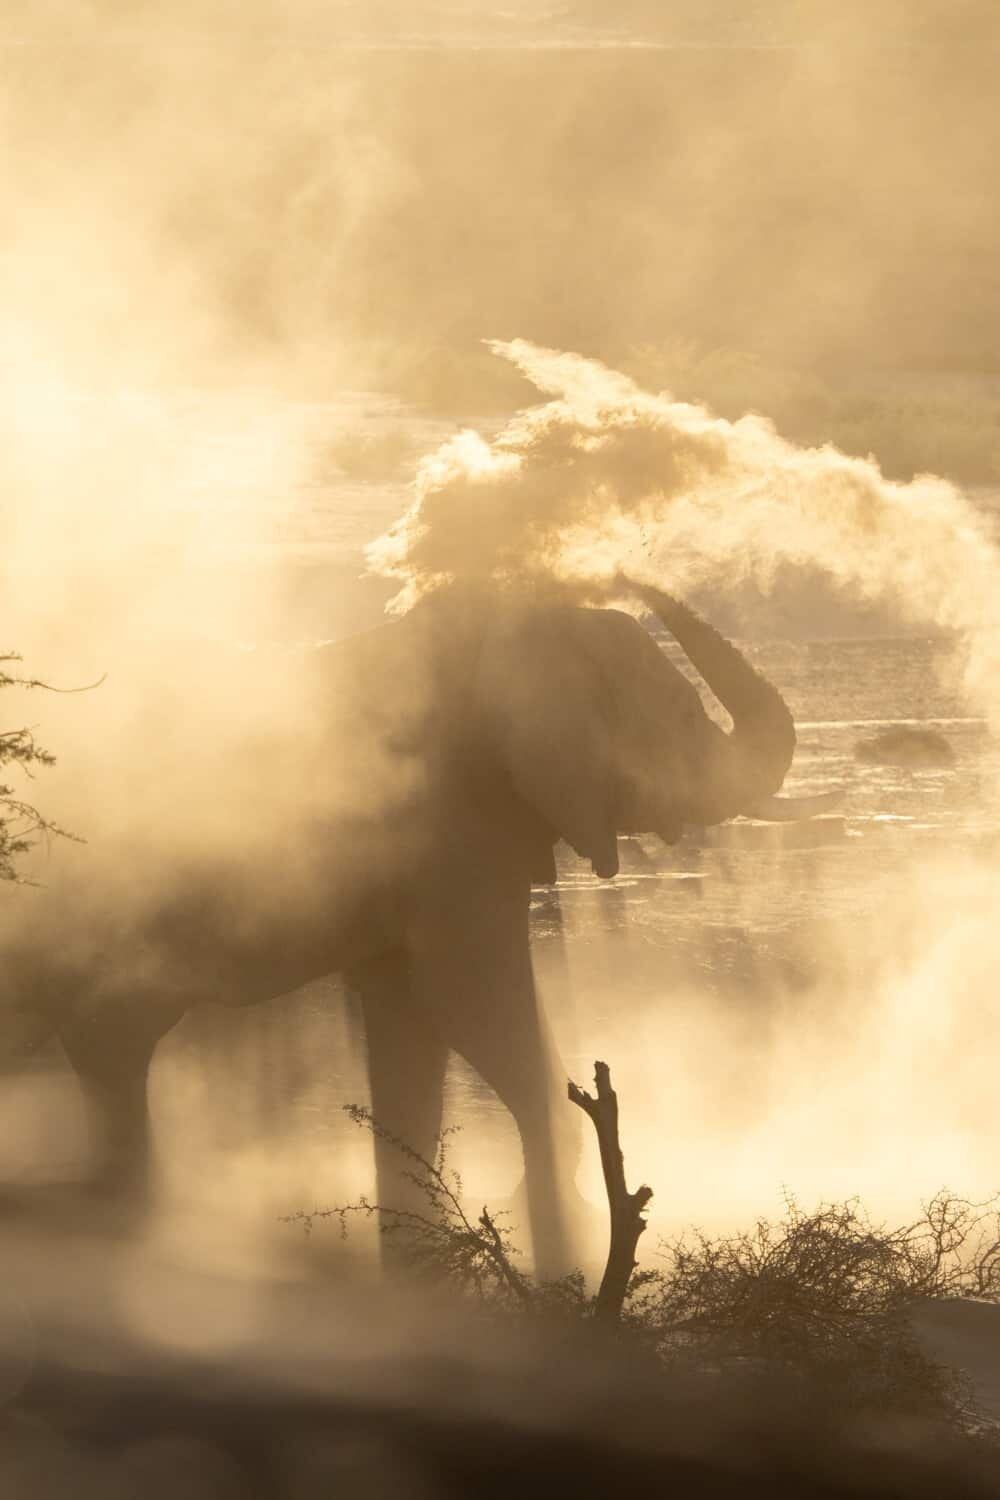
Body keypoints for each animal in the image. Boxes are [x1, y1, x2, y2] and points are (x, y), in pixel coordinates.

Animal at [0, 579, 803, 1272]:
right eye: (683, 717)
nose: (629, 573)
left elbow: (411, 1020)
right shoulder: (454, 830)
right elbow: (470, 1003)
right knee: (113, 1042)